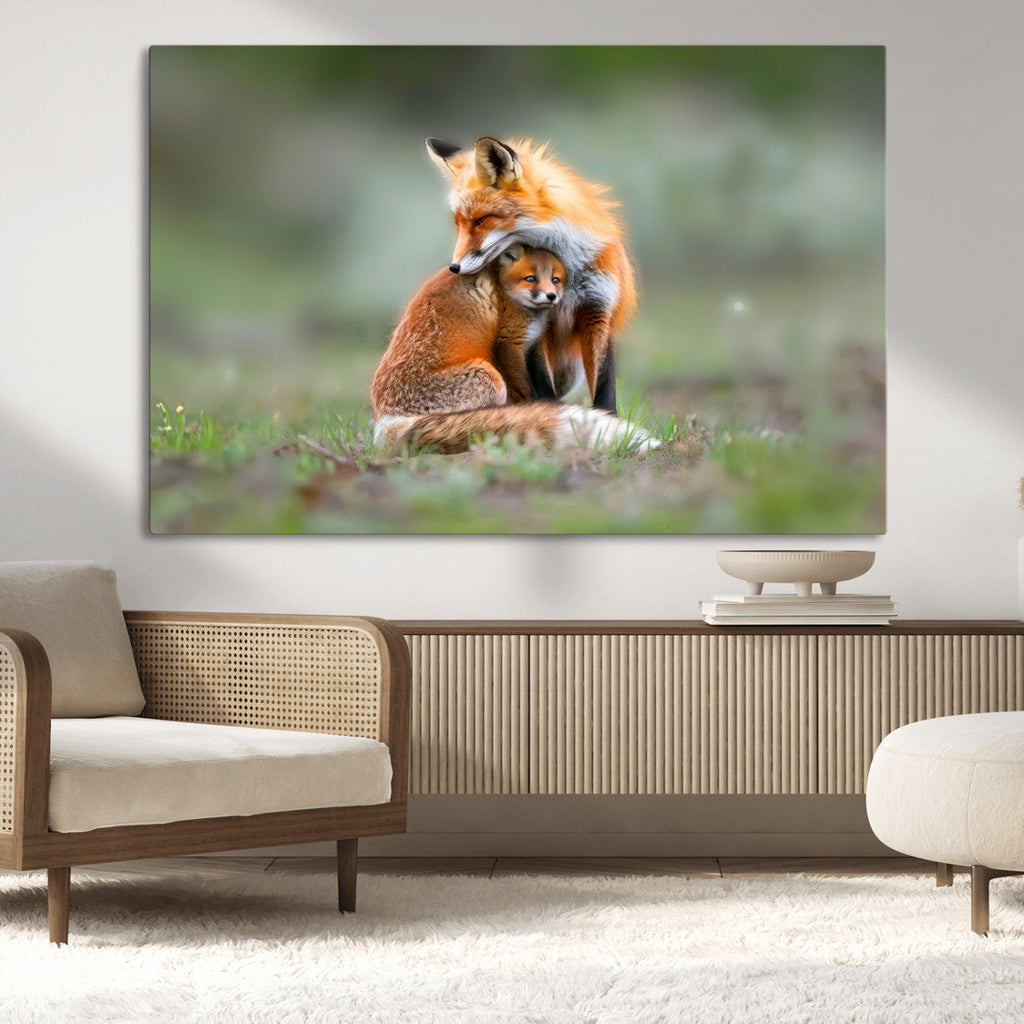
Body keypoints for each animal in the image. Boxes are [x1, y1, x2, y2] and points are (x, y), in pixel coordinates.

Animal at [425, 135, 637, 415]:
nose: (454, 267)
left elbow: (604, 387)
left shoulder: (598, 311)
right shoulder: (537, 324)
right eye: (458, 224)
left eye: (481, 220)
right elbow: (543, 385)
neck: (567, 270)